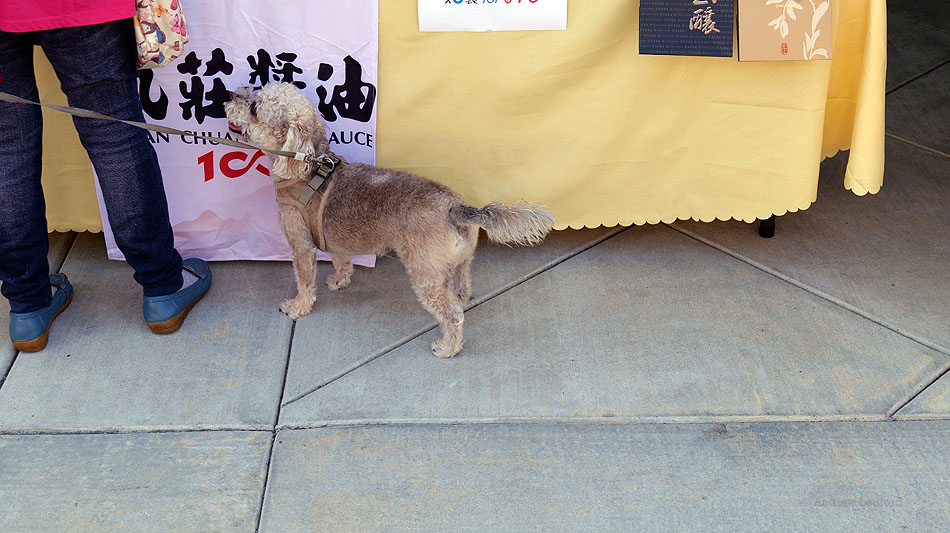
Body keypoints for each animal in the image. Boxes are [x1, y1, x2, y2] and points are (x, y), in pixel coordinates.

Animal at [226, 82, 556, 358]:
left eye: (255, 107)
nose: (228, 95)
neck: (306, 169)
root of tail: (456, 207)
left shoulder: (301, 246)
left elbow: (305, 282)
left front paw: (297, 307)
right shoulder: (336, 243)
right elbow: (341, 262)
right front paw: (339, 281)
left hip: (425, 276)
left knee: (452, 316)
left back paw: (448, 347)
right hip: (459, 264)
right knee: (460, 295)